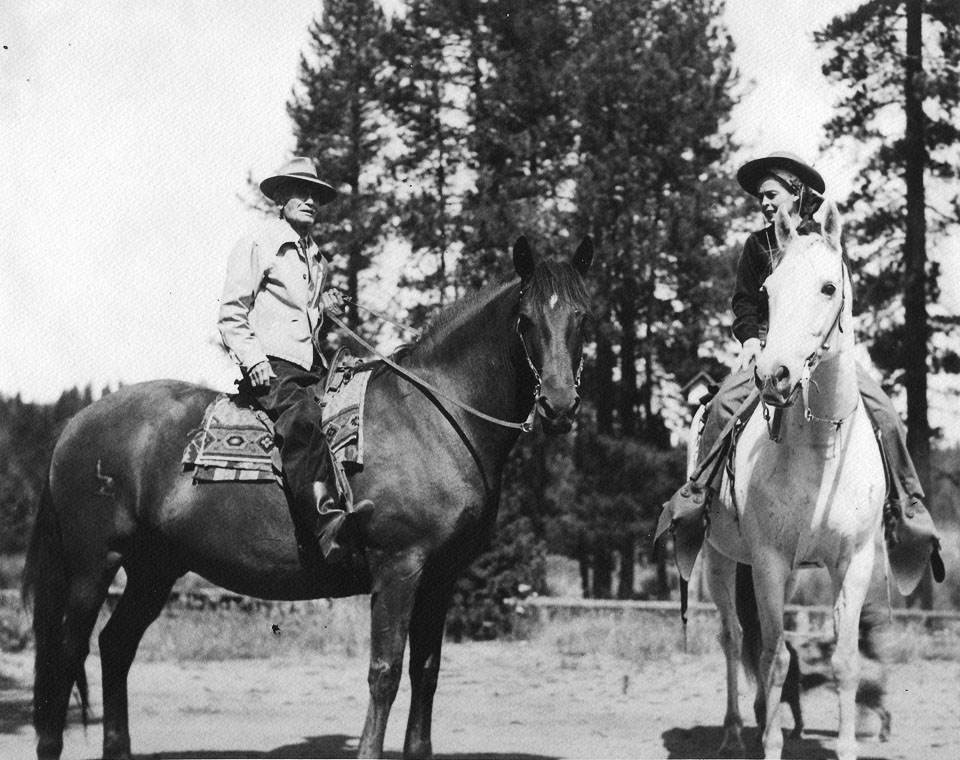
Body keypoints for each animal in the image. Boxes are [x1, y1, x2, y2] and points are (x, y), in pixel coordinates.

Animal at [20, 235, 592, 756]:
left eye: (582, 317)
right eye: (525, 320)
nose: (560, 406)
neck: (434, 416)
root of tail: (75, 424)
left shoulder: (440, 578)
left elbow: (426, 672)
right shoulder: (399, 567)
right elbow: (385, 672)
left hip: (154, 568)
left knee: (115, 647)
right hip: (92, 566)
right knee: (66, 657)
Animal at [700, 202, 880, 760]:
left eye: (828, 286)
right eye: (769, 290)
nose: (773, 375)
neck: (821, 451)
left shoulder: (853, 562)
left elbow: (845, 661)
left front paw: (846, 746)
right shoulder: (768, 563)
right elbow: (775, 658)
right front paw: (772, 741)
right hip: (719, 560)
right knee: (734, 638)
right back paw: (735, 730)